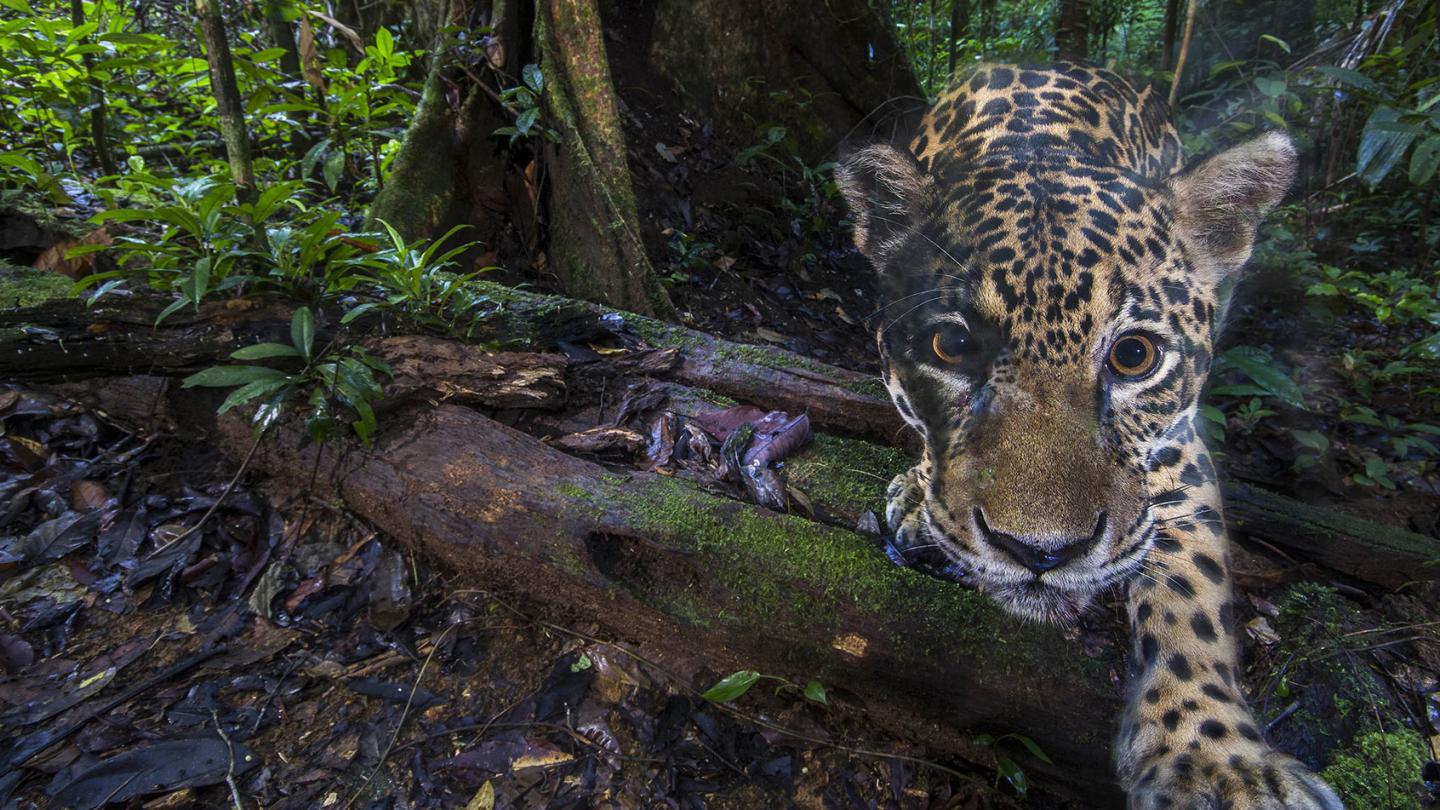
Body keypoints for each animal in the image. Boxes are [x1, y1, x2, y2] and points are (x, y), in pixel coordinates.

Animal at [835, 63, 1344, 809]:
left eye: (1135, 356)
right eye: (951, 345)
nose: (1041, 552)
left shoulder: (1176, 449)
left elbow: (1193, 589)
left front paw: (1218, 763)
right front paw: (918, 495)